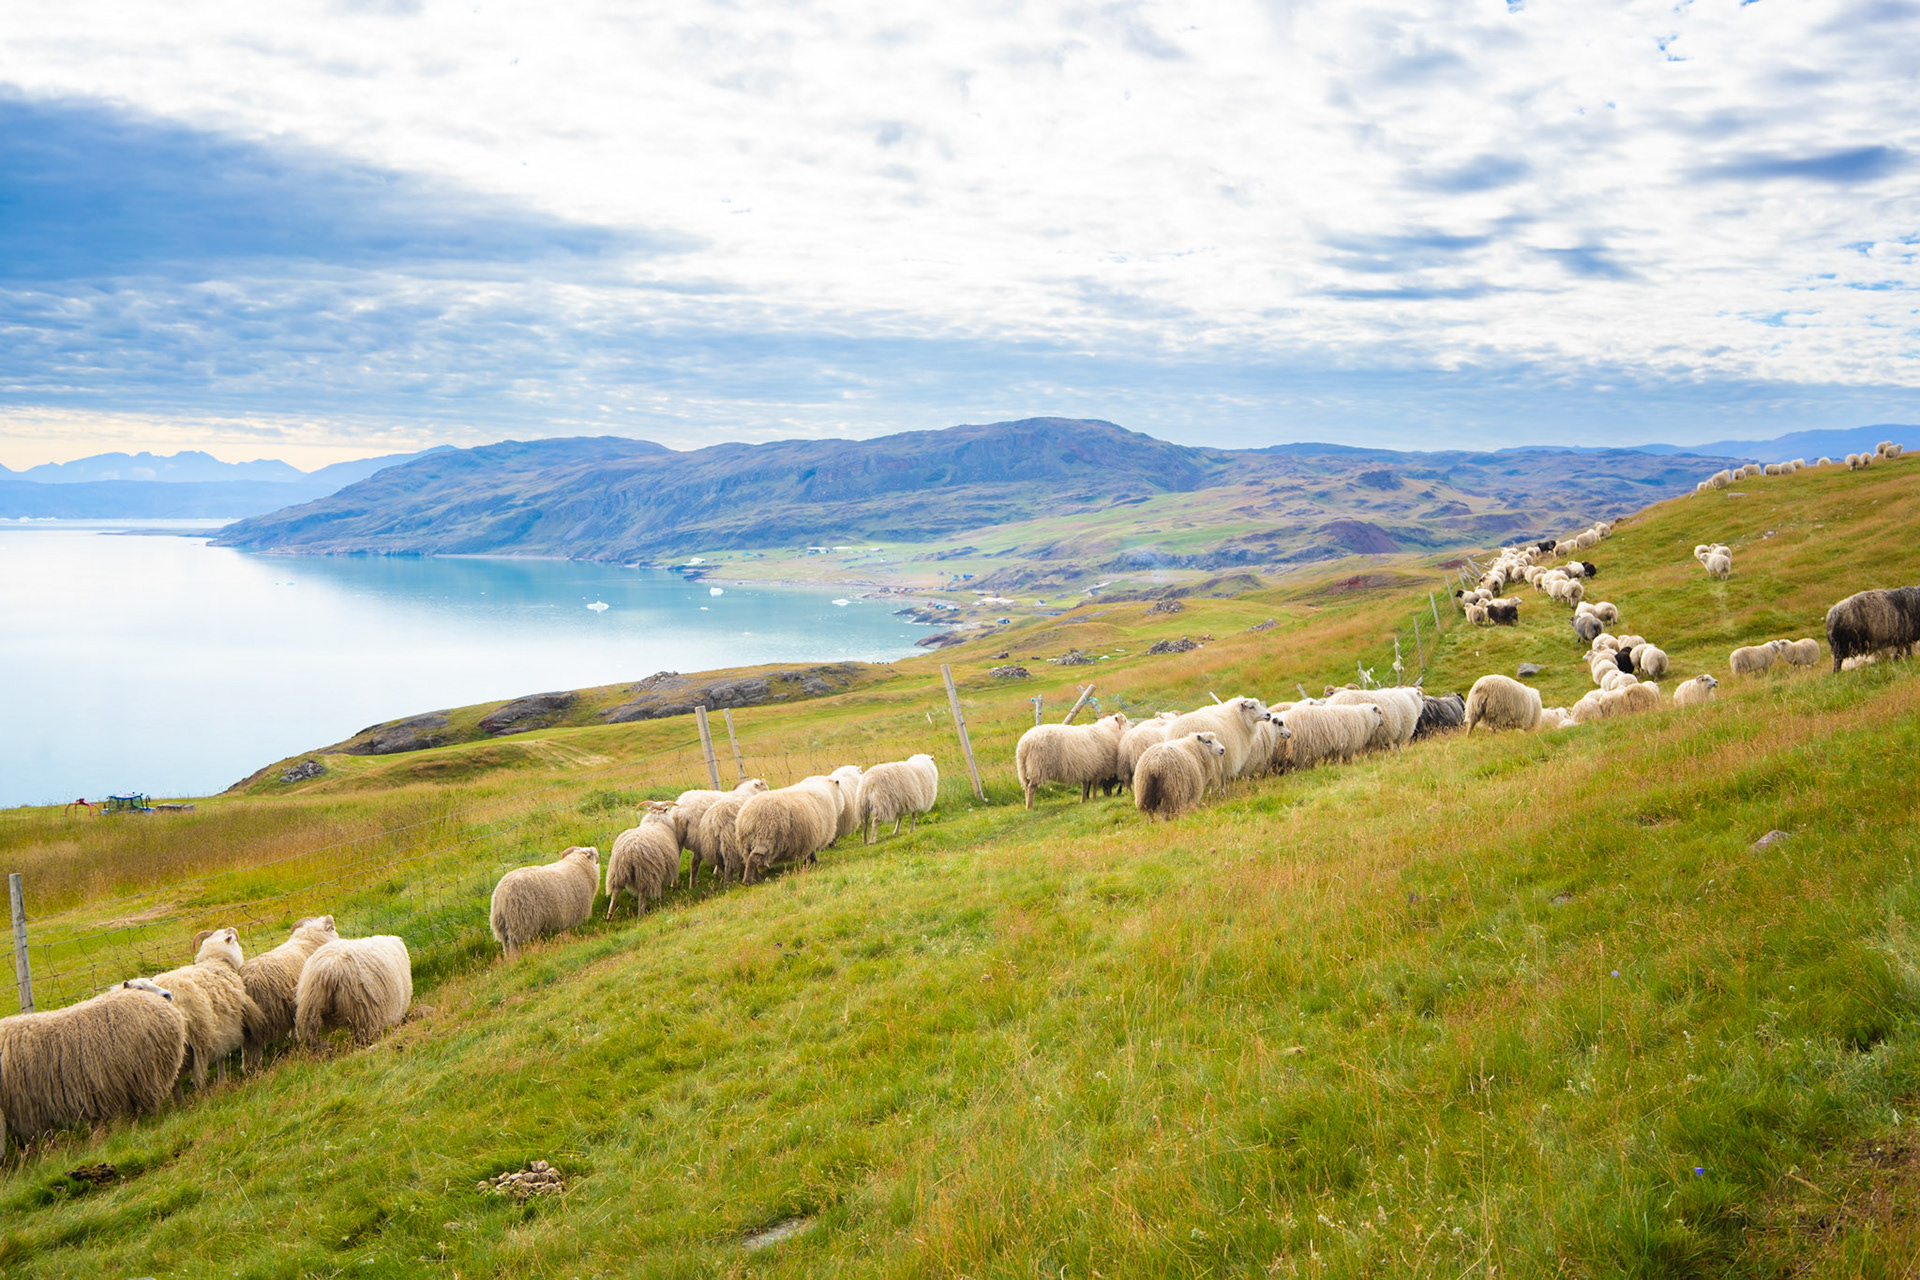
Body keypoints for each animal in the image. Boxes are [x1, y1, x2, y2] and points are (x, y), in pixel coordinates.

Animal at [238, 915, 339, 1071]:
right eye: (333, 928)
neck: (310, 941)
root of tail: (248, 980)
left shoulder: (292, 1003)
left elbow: (294, 1023)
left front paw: (294, 1038)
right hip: (262, 1017)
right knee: (255, 1044)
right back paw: (256, 1066)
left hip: (246, 1022)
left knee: (245, 1045)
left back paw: (246, 1068)